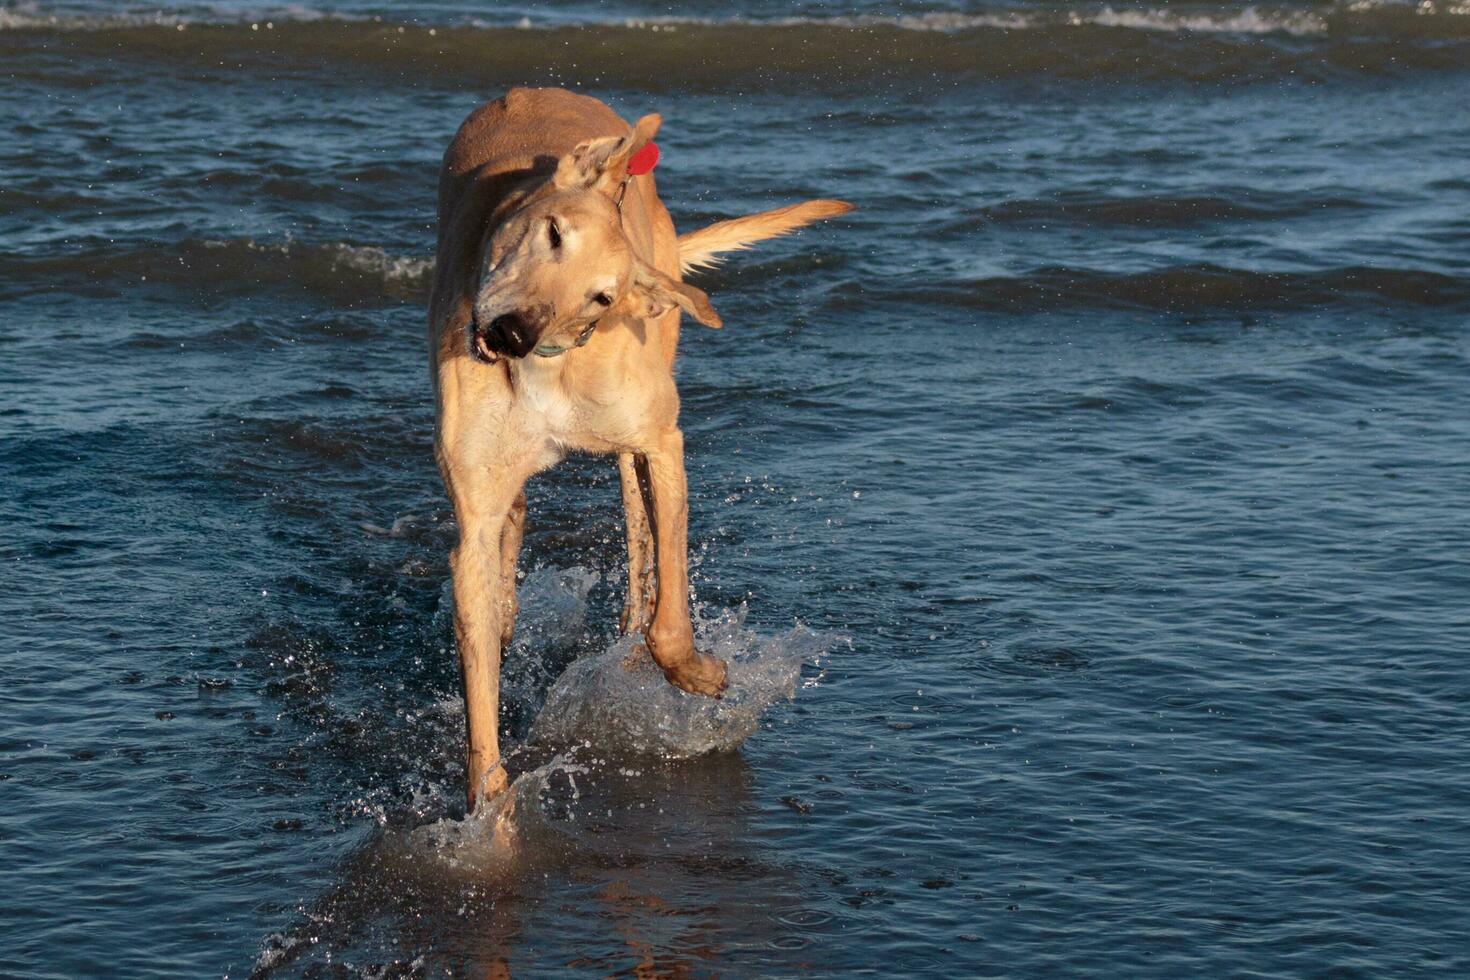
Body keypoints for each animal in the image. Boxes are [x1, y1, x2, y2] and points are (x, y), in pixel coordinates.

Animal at [429, 88, 852, 811]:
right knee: (522, 526)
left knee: (638, 525)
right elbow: (480, 697)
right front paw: (489, 814)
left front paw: (699, 674)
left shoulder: (664, 442)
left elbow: (669, 614)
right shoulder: (475, 510)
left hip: (645, 405)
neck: (550, 366)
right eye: (552, 233)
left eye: (601, 296)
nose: (513, 333)